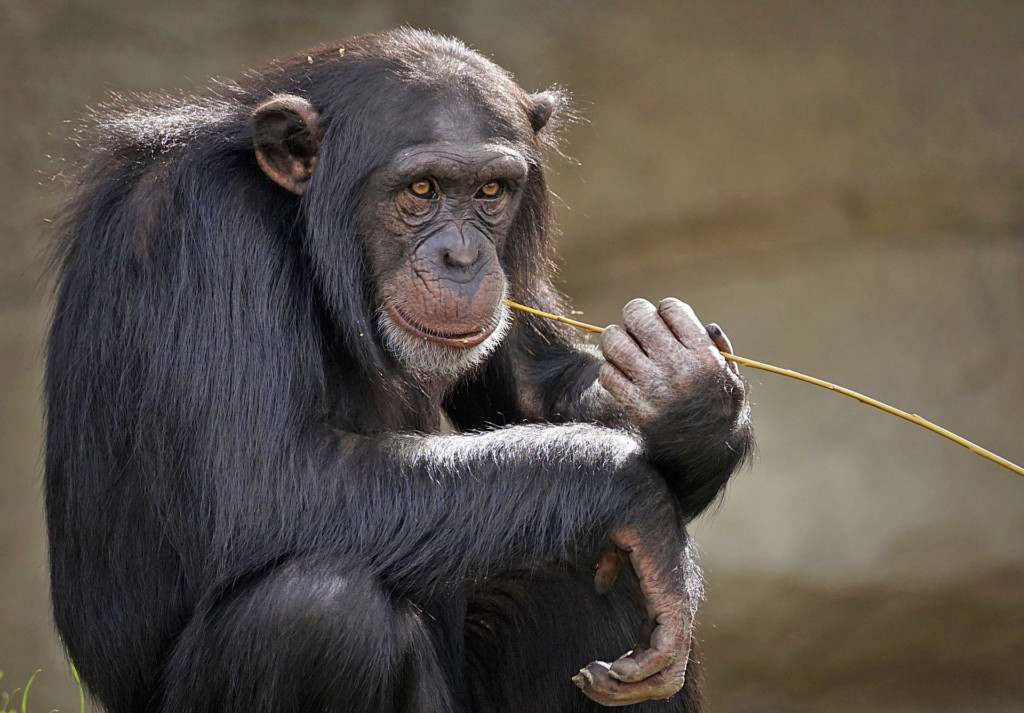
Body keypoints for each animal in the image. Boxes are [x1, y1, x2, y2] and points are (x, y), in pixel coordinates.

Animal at [46, 27, 753, 713]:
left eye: (490, 191)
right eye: (421, 190)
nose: (462, 257)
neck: (297, 221)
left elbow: (533, 387)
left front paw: (689, 396)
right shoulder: (206, 228)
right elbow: (262, 481)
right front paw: (635, 496)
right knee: (318, 611)